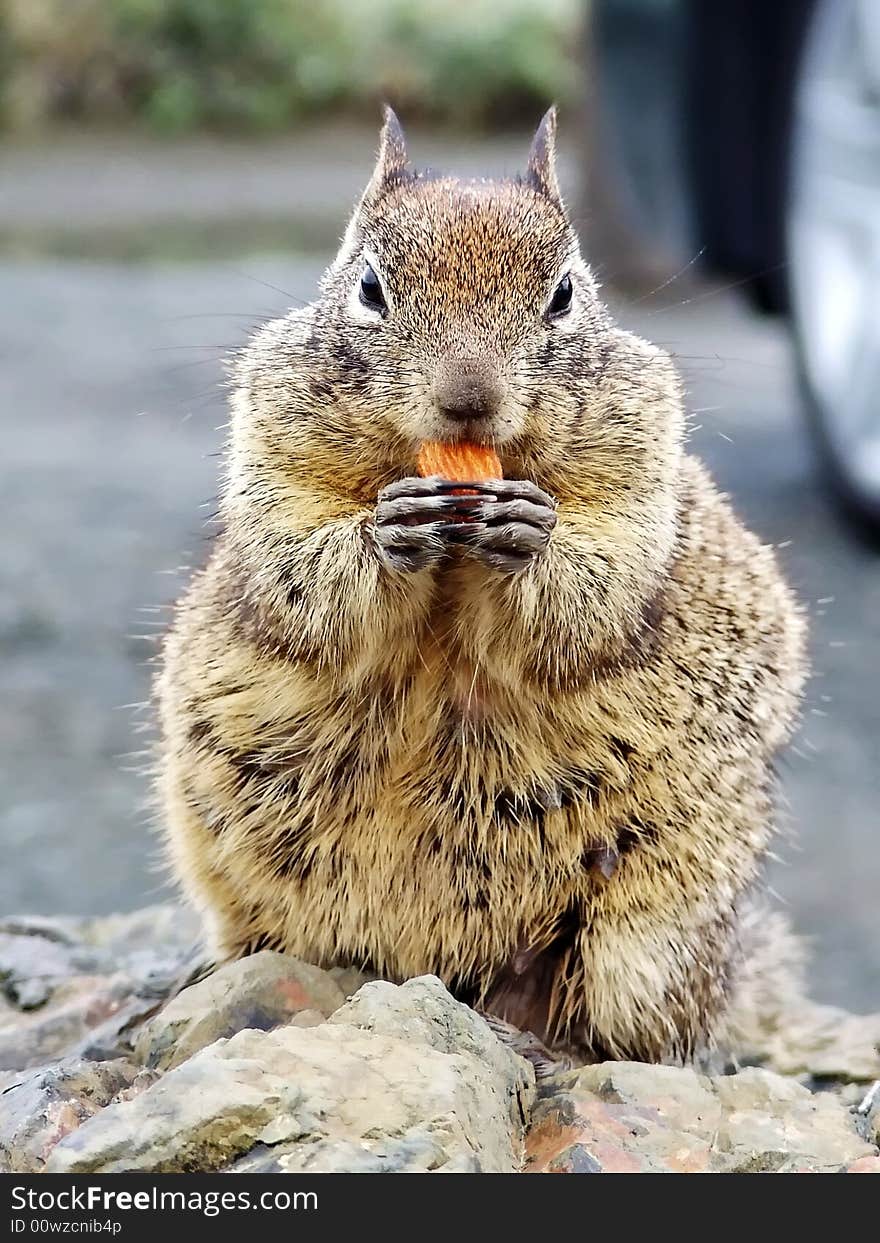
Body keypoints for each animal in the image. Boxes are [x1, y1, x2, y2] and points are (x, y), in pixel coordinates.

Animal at [154, 106, 805, 1064]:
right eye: (370, 286)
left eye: (565, 292)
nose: (469, 397)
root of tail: (425, 965)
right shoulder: (273, 442)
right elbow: (296, 565)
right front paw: (384, 535)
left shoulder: (641, 461)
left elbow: (602, 586)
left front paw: (531, 537)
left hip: (646, 942)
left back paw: (535, 1023)